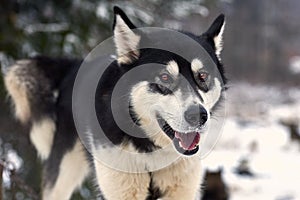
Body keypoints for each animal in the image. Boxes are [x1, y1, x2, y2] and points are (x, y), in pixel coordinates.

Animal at [3, 6, 226, 200]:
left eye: (202, 76)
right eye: (164, 77)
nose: (198, 115)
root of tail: (75, 66)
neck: (150, 153)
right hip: (63, 175)